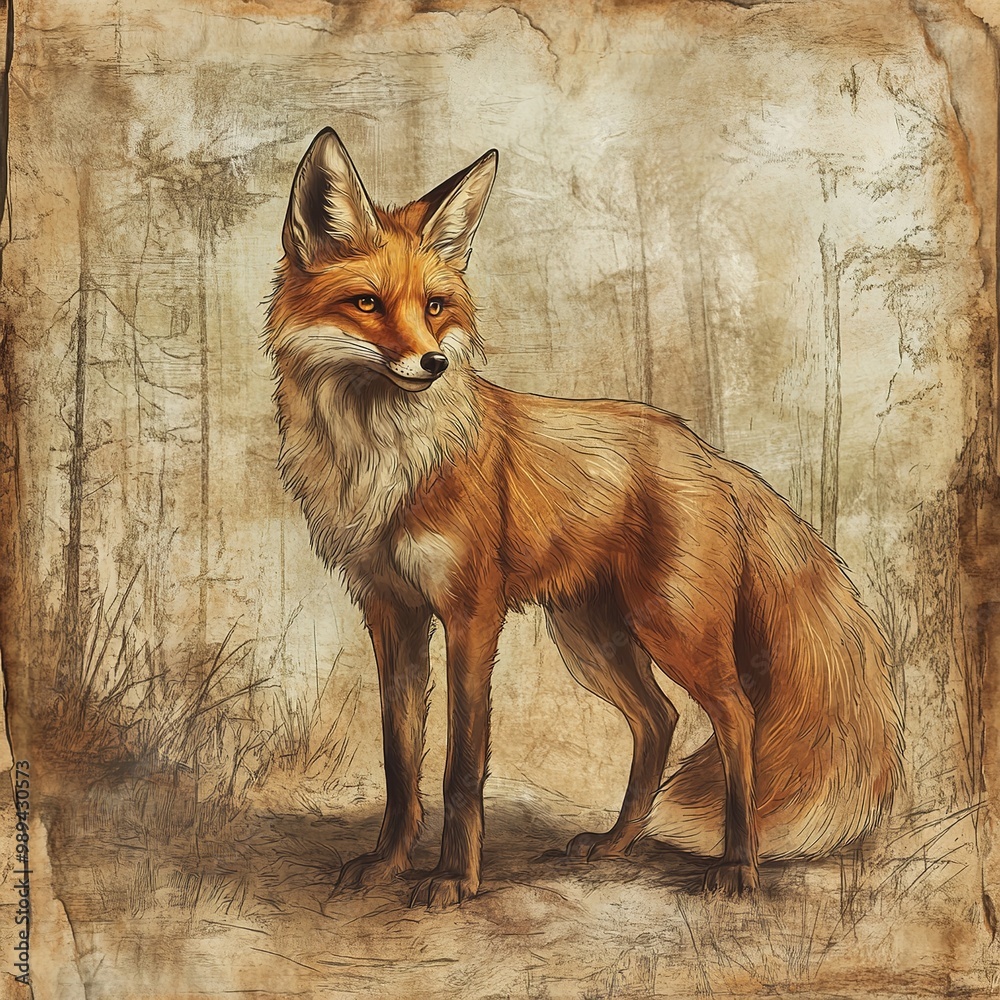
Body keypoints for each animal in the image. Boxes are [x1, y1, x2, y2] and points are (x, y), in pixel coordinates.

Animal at [264, 127, 904, 906]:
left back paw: (738, 866)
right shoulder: (392, 612)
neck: (385, 462)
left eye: (436, 306)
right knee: (659, 720)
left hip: (672, 628)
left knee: (736, 716)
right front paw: (387, 864)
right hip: (592, 637)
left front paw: (453, 878)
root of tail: (704, 450)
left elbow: (460, 769)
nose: (435, 362)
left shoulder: (471, 613)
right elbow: (399, 761)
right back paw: (615, 843)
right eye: (366, 303)